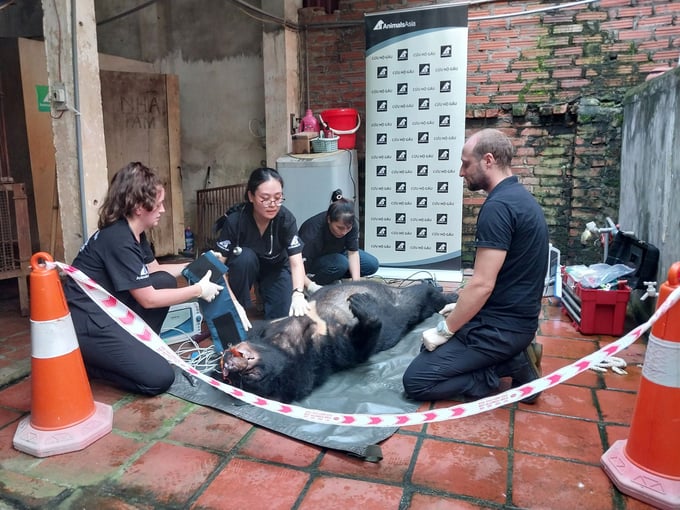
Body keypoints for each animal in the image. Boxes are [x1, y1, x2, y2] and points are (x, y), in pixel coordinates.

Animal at [220, 278, 460, 402]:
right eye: (249, 378)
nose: (227, 365)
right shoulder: (328, 348)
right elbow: (358, 347)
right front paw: (365, 308)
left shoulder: (272, 324)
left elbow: (256, 326)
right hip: (406, 303)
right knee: (422, 296)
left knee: (426, 290)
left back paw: (451, 296)